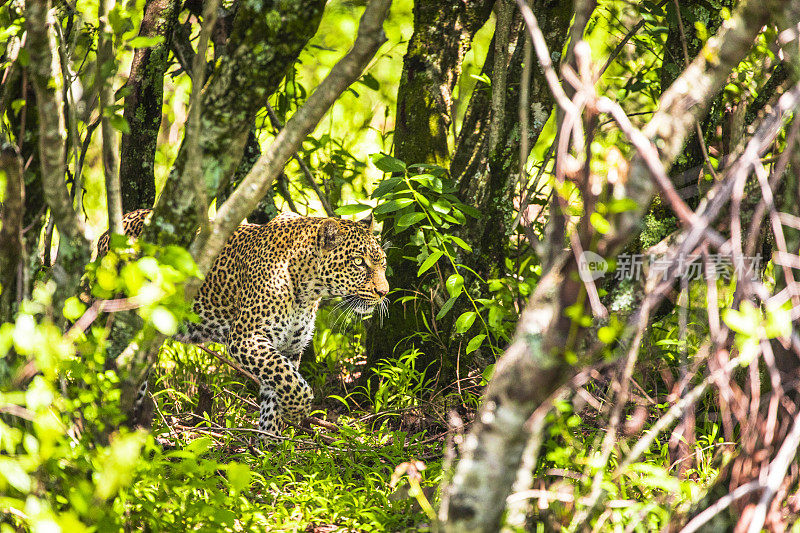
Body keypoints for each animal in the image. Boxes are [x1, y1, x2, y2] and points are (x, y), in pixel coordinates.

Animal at [95, 210, 390, 438]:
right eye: (359, 263)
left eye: (383, 263)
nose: (384, 292)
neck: (307, 290)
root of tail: (111, 229)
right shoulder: (245, 338)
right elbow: (291, 381)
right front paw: (297, 410)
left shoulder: (289, 348)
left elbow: (278, 384)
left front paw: (270, 446)